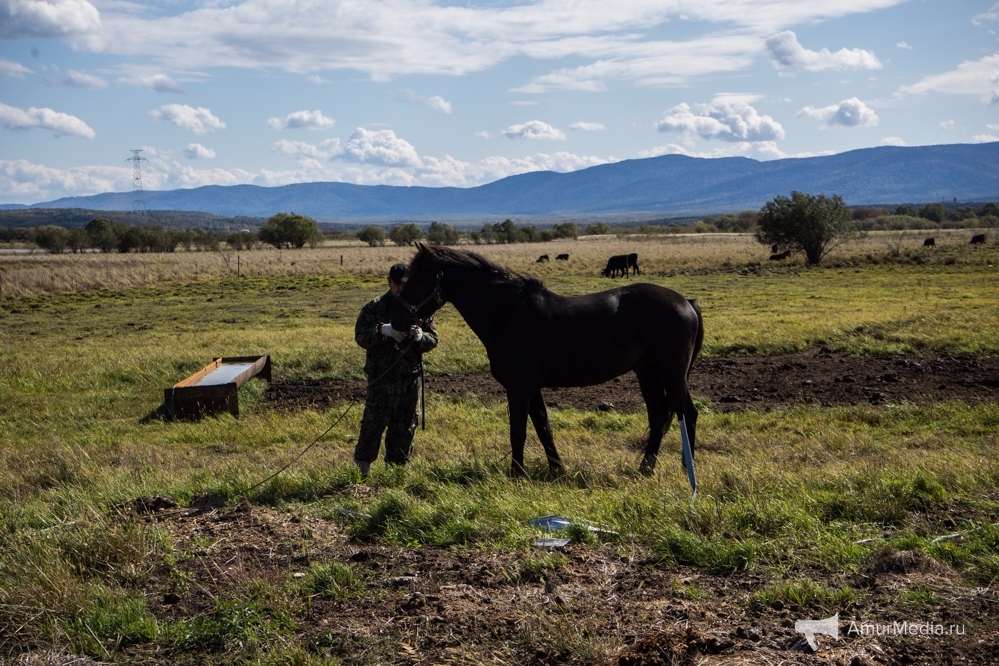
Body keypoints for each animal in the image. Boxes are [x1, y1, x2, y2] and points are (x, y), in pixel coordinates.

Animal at [390, 244, 704, 482]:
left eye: (418, 279)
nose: (397, 320)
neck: (507, 313)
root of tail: (687, 302)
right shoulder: (532, 387)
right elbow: (543, 428)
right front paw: (558, 471)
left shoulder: (518, 386)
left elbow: (518, 431)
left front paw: (516, 474)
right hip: (648, 373)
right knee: (659, 416)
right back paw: (645, 469)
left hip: (671, 373)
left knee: (687, 413)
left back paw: (685, 469)